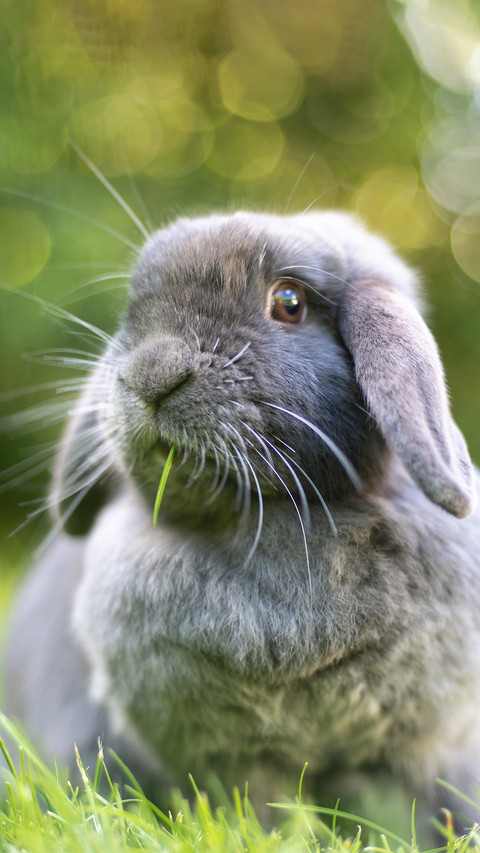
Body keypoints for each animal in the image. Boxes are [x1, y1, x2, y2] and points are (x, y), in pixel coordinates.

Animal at [3, 209, 480, 835]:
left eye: (289, 302)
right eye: (134, 308)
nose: (152, 374)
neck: (260, 521)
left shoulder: (423, 744)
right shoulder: (222, 754)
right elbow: (251, 805)